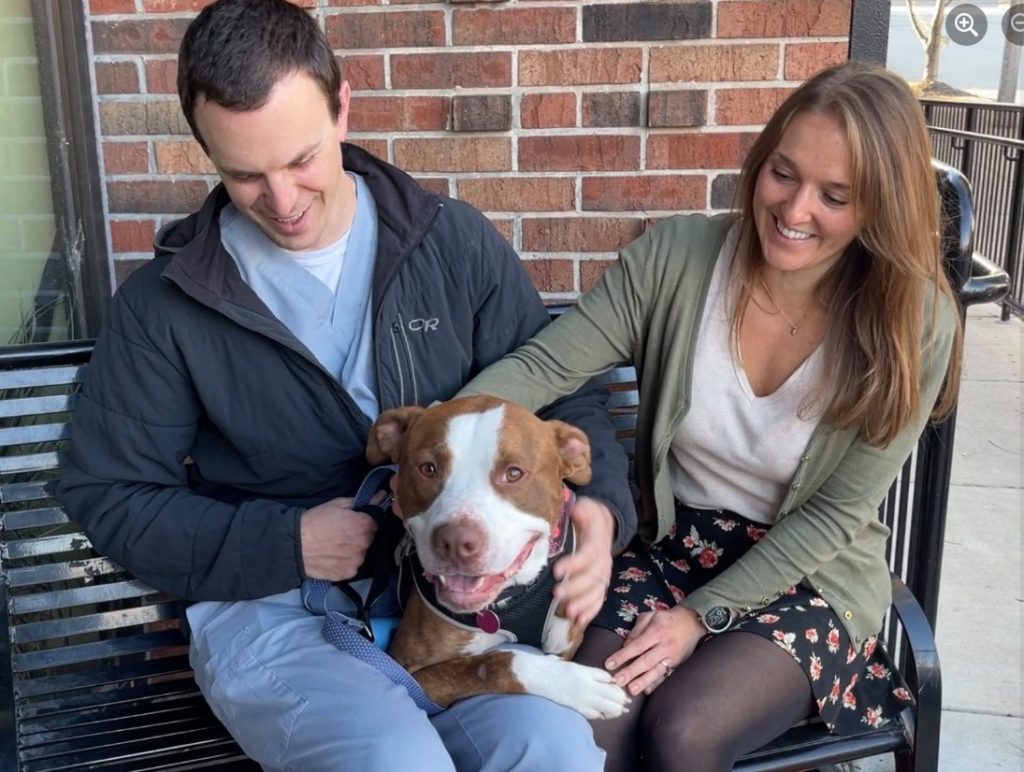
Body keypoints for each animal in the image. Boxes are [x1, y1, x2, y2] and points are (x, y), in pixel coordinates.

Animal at [364, 393, 626, 720]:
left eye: (513, 473)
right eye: (428, 469)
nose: (456, 541)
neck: (508, 599)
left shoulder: (565, 638)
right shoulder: (405, 673)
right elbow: (492, 662)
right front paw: (574, 683)